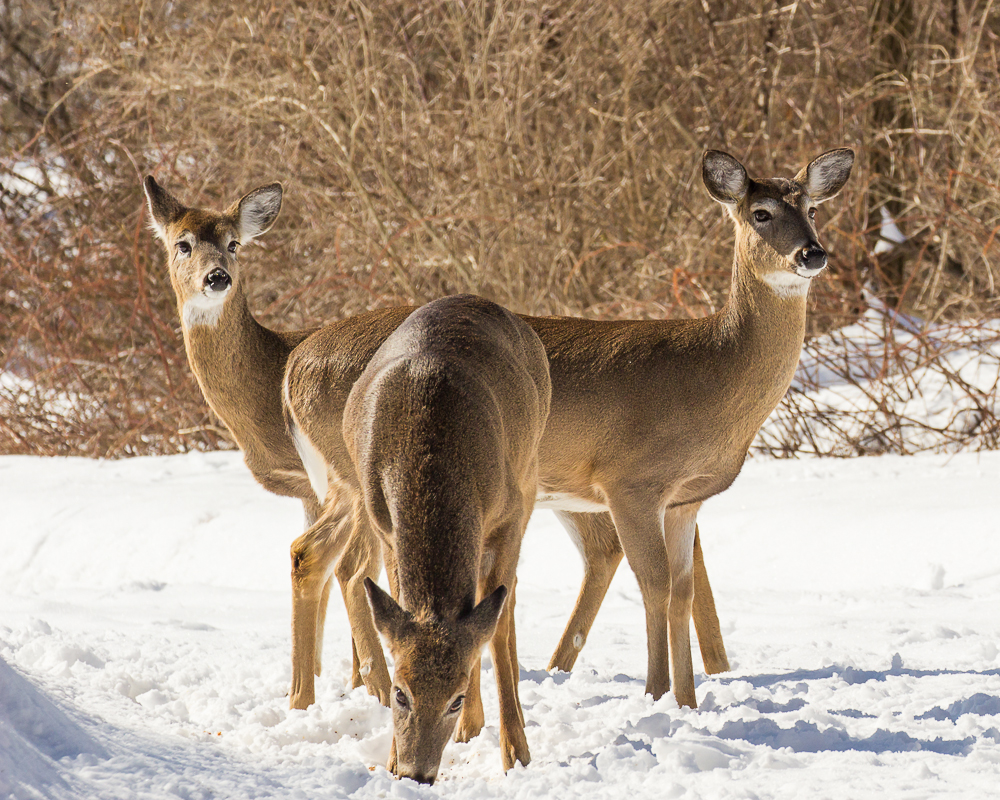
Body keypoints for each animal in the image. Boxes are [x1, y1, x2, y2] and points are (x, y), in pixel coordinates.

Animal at [346, 294, 556, 780]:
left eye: (454, 700)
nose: (416, 774)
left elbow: (497, 631)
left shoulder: (509, 517)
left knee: (501, 608)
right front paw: (389, 758)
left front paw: (516, 755)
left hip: (531, 474)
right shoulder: (384, 527)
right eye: (400, 692)